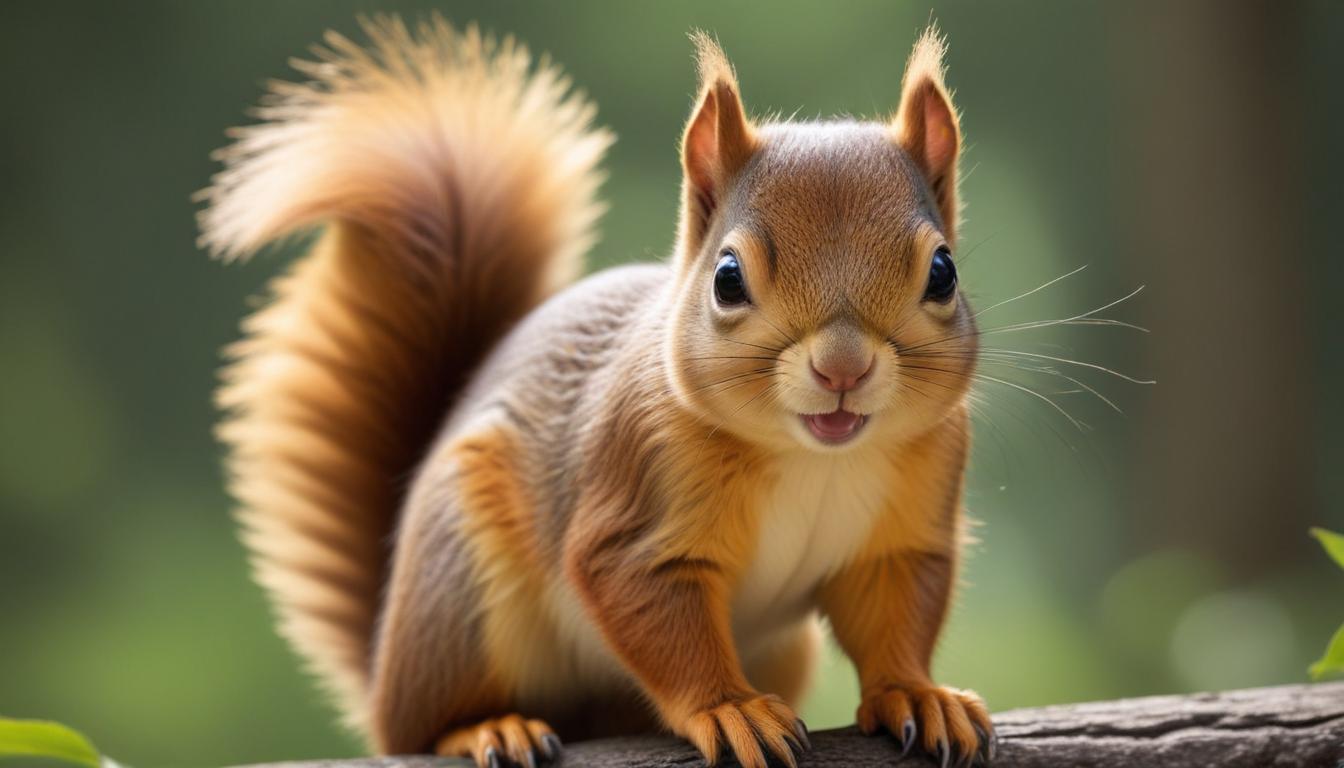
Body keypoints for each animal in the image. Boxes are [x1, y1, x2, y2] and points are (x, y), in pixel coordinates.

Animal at [200, 15, 993, 768]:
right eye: (726, 278)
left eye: (944, 272)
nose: (842, 369)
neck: (814, 457)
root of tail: (385, 671)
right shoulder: (637, 491)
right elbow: (655, 612)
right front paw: (729, 708)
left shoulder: (909, 520)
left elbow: (896, 615)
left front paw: (916, 693)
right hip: (460, 593)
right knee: (425, 725)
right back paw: (489, 727)